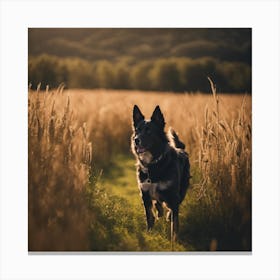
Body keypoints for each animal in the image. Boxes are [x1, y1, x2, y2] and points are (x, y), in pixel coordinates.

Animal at [132, 105, 190, 241]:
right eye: (137, 130)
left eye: (149, 131)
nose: (136, 140)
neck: (154, 164)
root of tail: (181, 149)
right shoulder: (145, 194)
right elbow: (149, 216)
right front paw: (149, 233)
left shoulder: (173, 195)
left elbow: (175, 222)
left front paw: (174, 240)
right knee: (158, 204)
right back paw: (160, 212)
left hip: (182, 189)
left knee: (172, 206)